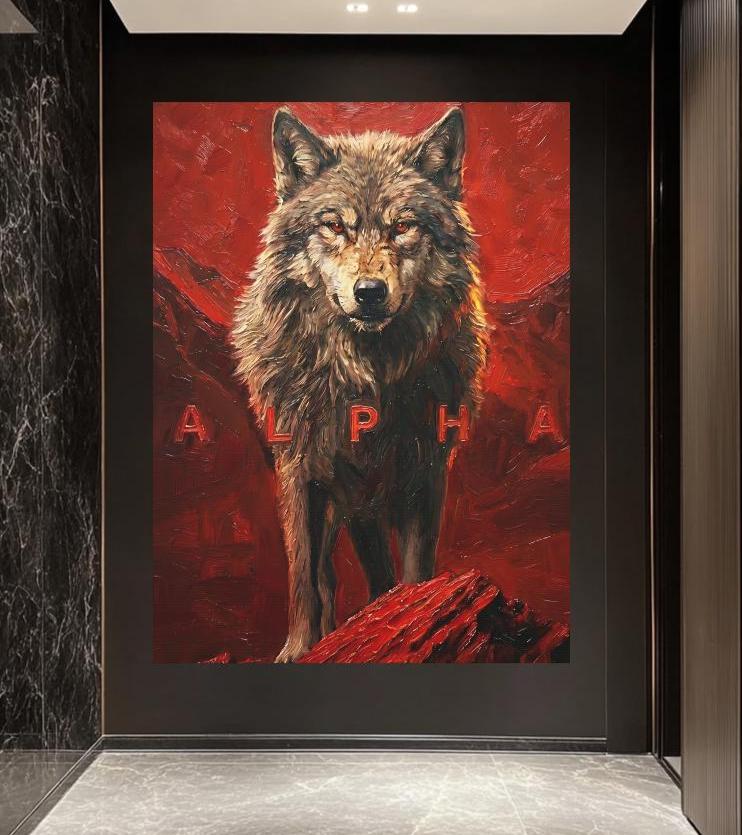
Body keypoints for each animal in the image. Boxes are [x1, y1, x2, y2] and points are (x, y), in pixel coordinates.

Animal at [231, 106, 488, 662]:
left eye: (404, 226)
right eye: (334, 226)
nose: (369, 292)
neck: (367, 381)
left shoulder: (423, 471)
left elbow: (414, 573)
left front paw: (416, 623)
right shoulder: (300, 472)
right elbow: (304, 577)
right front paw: (299, 649)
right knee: (327, 576)